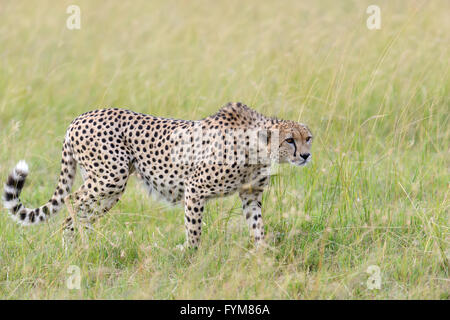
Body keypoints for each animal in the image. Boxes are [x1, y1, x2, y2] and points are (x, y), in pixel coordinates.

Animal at [2, 102, 312, 248]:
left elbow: (258, 228)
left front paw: (263, 256)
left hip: (110, 189)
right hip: (110, 176)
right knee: (72, 201)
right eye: (289, 140)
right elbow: (194, 228)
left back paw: (81, 247)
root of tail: (79, 118)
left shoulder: (250, 195)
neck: (257, 147)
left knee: (80, 214)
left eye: (307, 138)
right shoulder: (195, 187)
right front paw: (189, 254)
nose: (306, 155)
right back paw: (79, 246)